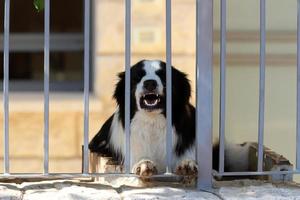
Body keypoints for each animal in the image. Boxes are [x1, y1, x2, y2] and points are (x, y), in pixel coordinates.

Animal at [88, 59, 250, 178]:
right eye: (137, 77)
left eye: (164, 76)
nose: (150, 82)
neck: (153, 121)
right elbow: (140, 159)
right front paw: (144, 163)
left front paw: (188, 164)